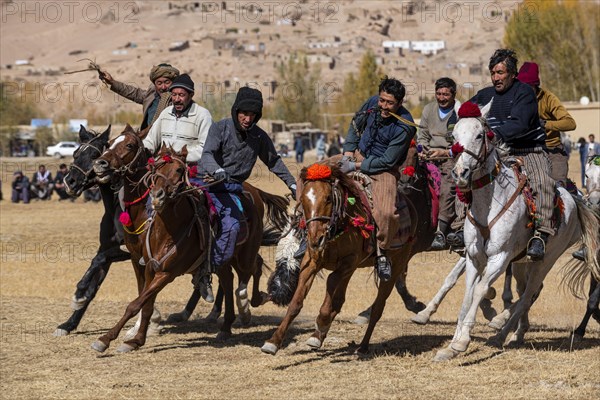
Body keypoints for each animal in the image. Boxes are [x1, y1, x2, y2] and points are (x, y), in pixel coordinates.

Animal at [262, 162, 422, 354]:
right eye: (303, 199)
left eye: (328, 198)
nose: (315, 239)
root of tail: (411, 208)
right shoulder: (312, 262)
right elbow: (296, 303)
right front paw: (273, 341)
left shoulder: (348, 262)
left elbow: (330, 284)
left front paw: (321, 323)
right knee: (340, 300)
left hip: (395, 266)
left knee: (378, 307)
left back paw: (363, 346)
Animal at [434, 101, 596, 360]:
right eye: (454, 136)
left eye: (479, 135)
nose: (460, 174)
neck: (489, 203)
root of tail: (573, 198)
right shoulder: (473, 257)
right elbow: (468, 293)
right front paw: (452, 345)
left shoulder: (499, 258)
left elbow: (480, 290)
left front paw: (463, 342)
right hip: (521, 262)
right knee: (525, 292)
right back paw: (513, 333)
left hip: (544, 260)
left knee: (529, 294)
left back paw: (501, 329)